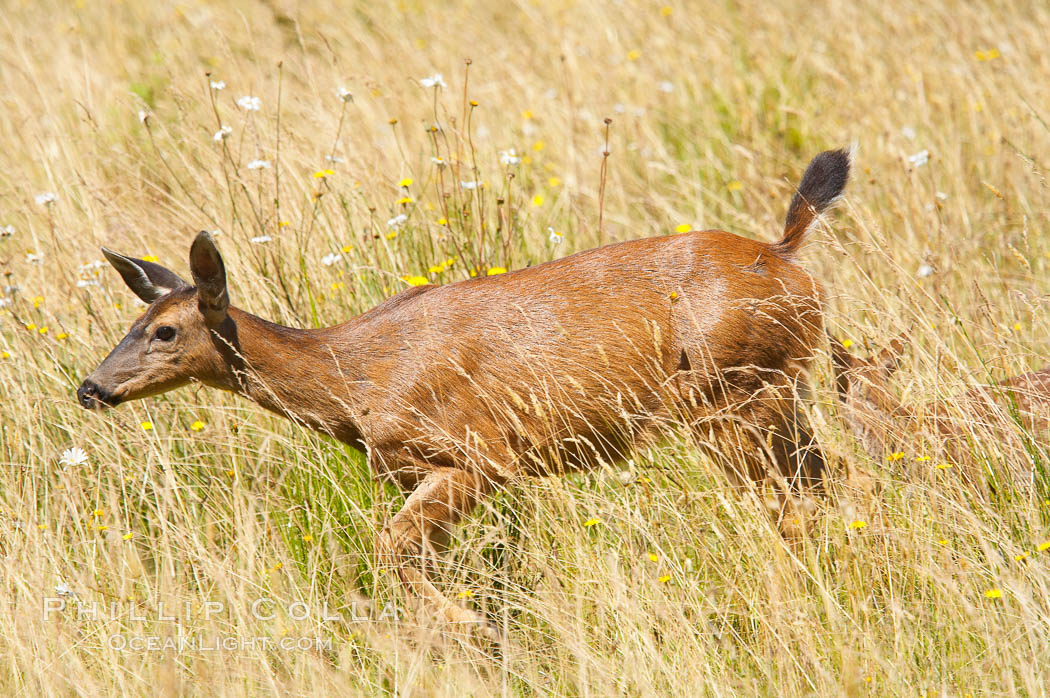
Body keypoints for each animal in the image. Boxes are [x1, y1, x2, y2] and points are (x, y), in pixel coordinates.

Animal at [79, 146, 852, 638]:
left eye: (167, 331)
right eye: (131, 322)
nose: (90, 387)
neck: (353, 379)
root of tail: (786, 255)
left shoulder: (480, 456)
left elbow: (390, 548)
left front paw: (470, 624)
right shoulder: (420, 471)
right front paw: (473, 621)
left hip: (731, 397)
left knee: (799, 499)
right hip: (769, 394)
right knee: (827, 480)